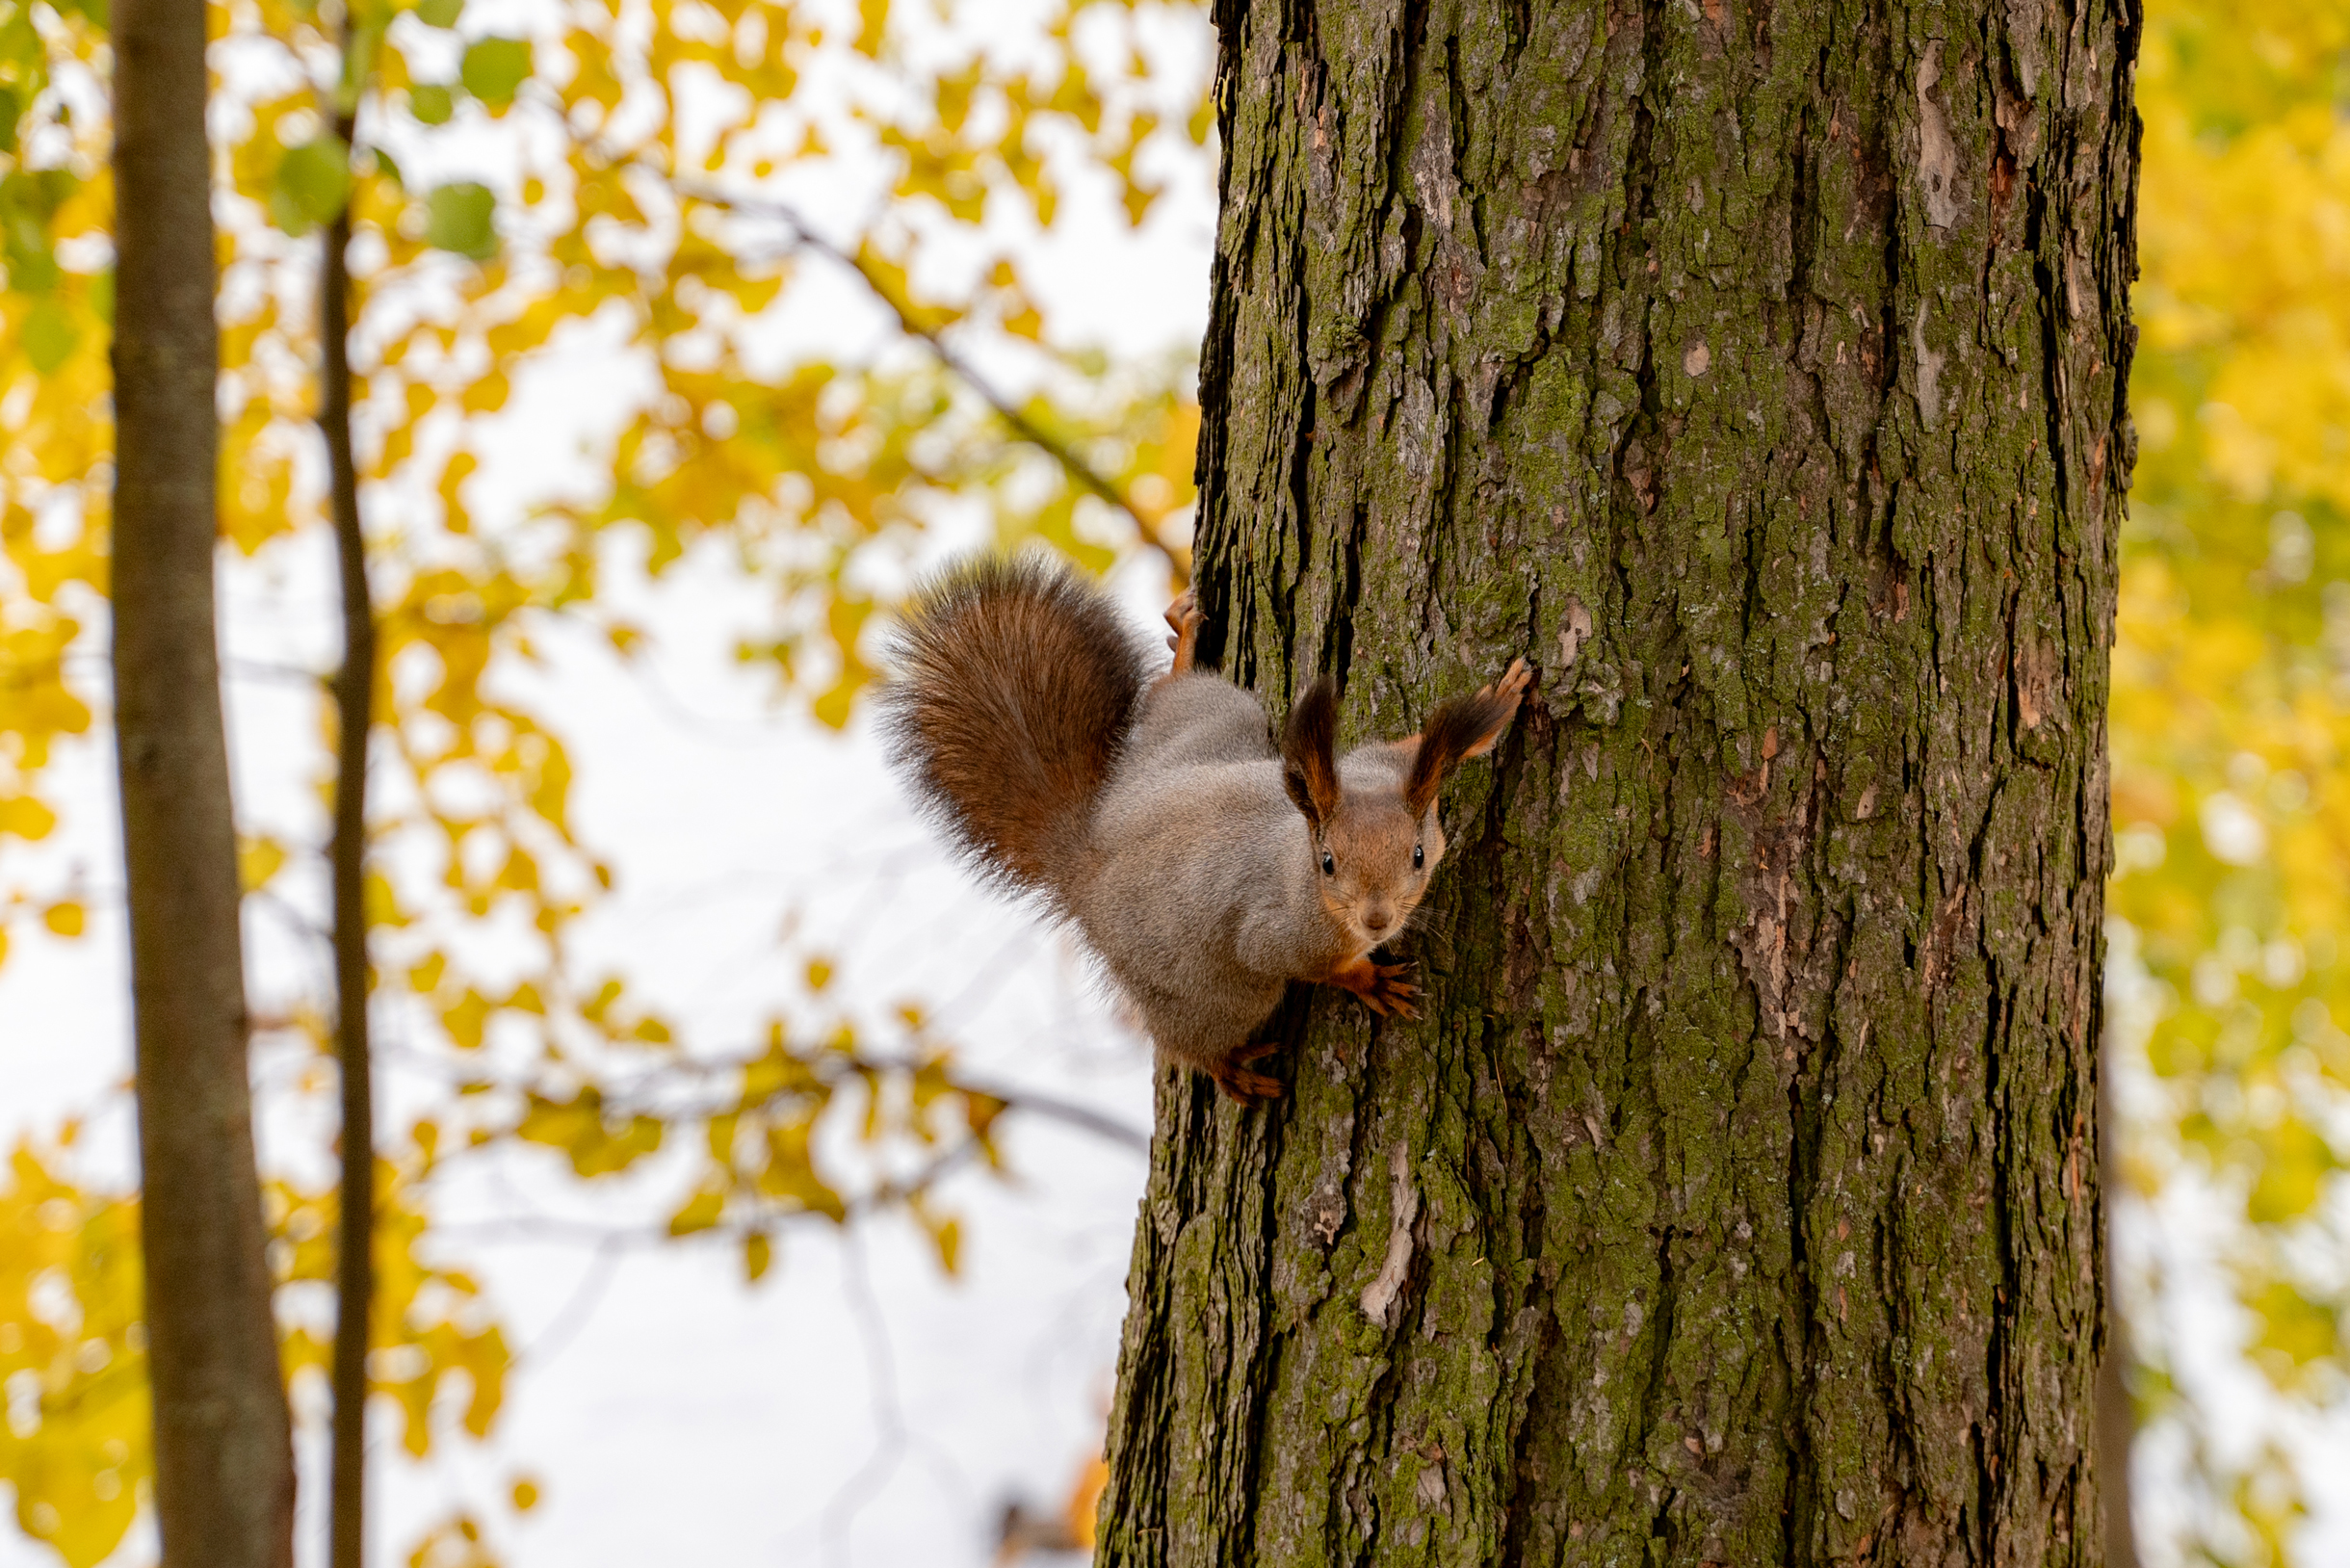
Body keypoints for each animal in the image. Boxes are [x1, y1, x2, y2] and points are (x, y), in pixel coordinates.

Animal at [874, 555, 1531, 1105]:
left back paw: (1184, 645)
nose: (1376, 920)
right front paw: (1367, 980)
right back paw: (1228, 1067)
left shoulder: (1380, 767)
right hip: (1210, 993)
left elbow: (1417, 747)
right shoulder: (1280, 934)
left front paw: (1496, 705)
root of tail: (1088, 855)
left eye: (1418, 855)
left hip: (1206, 724)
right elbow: (1318, 967)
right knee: (1192, 1039)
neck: (1296, 852)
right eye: (1328, 863)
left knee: (1173, 693)